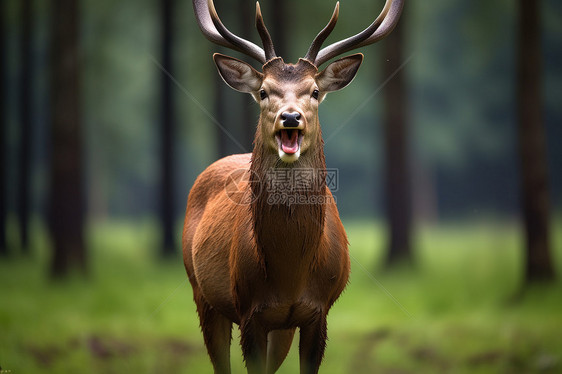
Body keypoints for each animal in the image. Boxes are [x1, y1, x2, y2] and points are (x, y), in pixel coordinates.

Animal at [182, 1, 404, 372]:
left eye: (314, 91)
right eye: (263, 91)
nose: (289, 117)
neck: (290, 276)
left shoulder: (319, 312)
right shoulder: (249, 312)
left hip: (280, 328)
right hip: (202, 293)